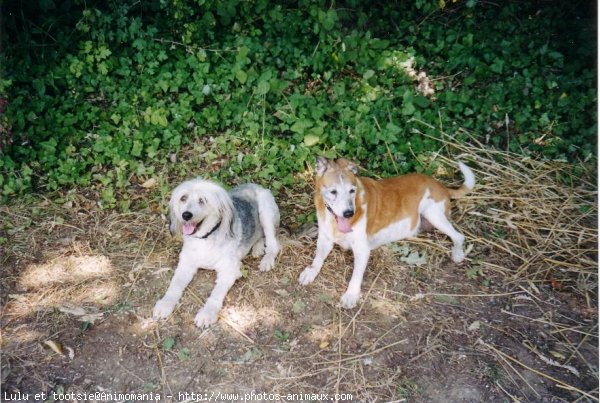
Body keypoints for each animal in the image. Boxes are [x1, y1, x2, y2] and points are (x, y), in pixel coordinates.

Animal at [152, 180, 278, 328]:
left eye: (202, 200)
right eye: (183, 198)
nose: (186, 215)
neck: (205, 239)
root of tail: (254, 184)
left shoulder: (229, 271)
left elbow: (216, 293)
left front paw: (207, 313)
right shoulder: (185, 265)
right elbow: (175, 284)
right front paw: (165, 303)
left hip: (266, 212)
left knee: (273, 243)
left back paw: (267, 259)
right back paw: (258, 247)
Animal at [298, 158, 474, 310]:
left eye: (352, 191)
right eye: (333, 192)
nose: (348, 213)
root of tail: (440, 185)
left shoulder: (362, 250)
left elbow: (356, 275)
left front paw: (351, 295)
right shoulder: (325, 239)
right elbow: (317, 259)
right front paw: (311, 272)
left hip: (433, 213)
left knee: (459, 236)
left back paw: (458, 253)